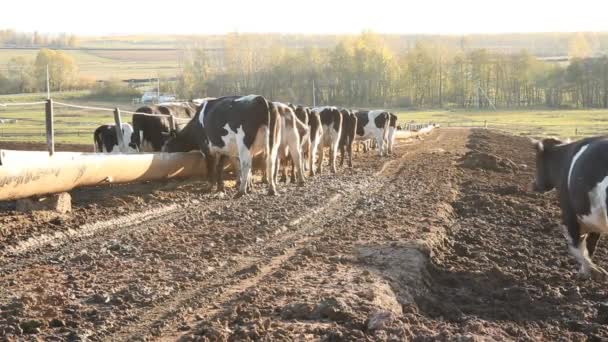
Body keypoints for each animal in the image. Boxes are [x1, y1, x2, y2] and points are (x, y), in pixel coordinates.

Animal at [536, 135, 608, 280]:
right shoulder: (592, 221)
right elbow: (589, 247)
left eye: (537, 160)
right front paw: (586, 272)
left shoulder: (569, 215)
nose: (534, 186)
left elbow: (575, 247)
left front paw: (594, 271)